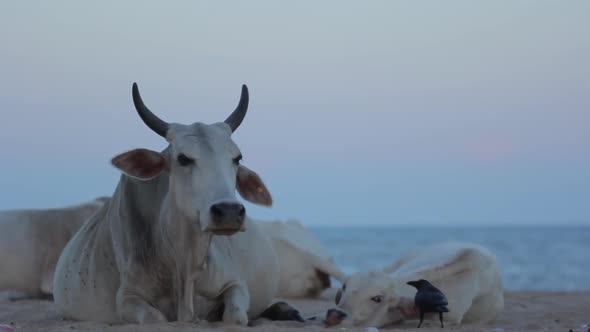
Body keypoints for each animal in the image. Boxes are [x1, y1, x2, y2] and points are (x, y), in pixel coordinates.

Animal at [53, 82, 302, 324]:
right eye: (183, 158)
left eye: (237, 158)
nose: (229, 211)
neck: (183, 264)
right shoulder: (127, 297)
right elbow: (155, 319)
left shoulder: (235, 283)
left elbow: (236, 317)